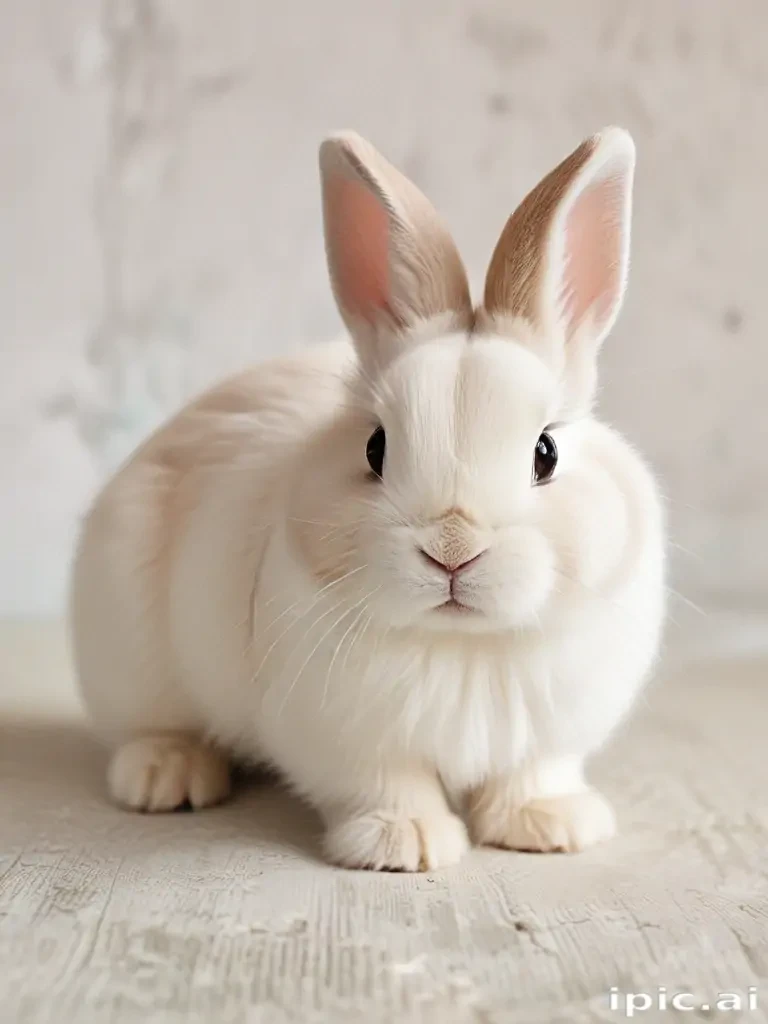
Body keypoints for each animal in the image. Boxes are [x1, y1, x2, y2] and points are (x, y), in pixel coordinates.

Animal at [71, 126, 665, 872]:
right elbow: (386, 784)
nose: (452, 550)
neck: (463, 646)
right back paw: (166, 777)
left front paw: (549, 826)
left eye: (546, 452)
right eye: (375, 449)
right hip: (128, 650)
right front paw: (404, 843)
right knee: (145, 726)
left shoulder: (551, 737)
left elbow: (534, 773)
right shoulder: (345, 741)